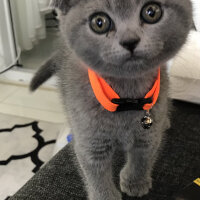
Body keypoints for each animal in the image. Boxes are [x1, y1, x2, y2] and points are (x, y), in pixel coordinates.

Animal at [30, 0, 192, 199]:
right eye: (99, 23)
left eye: (151, 12)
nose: (129, 41)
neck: (126, 100)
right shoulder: (90, 140)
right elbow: (95, 173)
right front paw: (105, 195)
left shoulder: (149, 133)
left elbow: (143, 158)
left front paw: (135, 182)